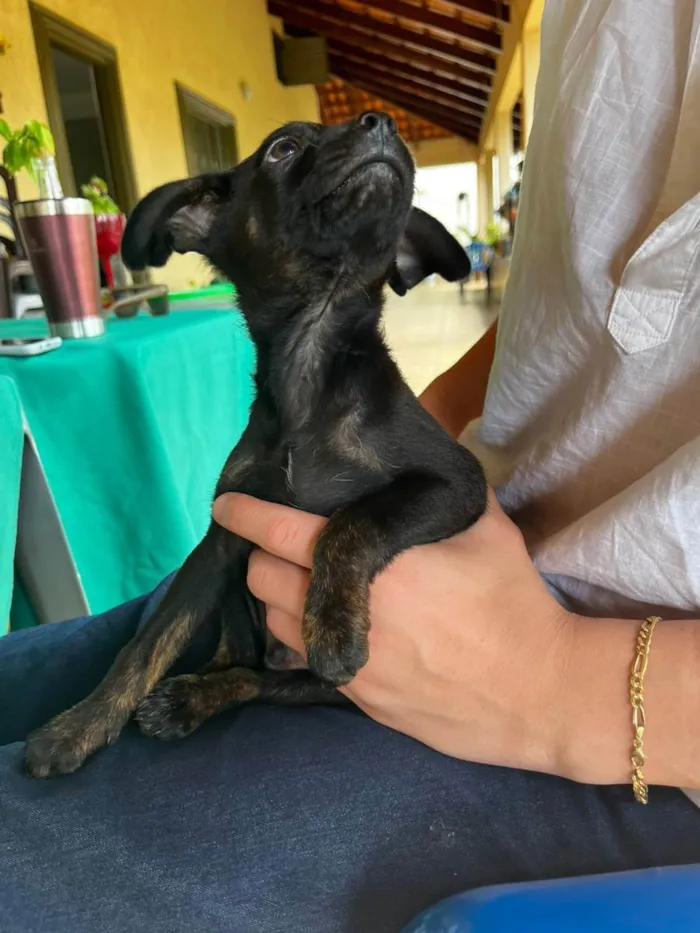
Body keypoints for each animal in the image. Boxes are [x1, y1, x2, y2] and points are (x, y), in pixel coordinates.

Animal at [26, 113, 486, 776]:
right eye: (283, 149)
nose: (381, 123)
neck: (309, 369)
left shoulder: (457, 483)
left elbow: (355, 519)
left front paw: (333, 628)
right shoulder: (220, 537)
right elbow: (145, 644)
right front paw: (78, 726)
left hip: (328, 690)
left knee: (261, 682)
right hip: (237, 615)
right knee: (239, 662)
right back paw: (187, 697)